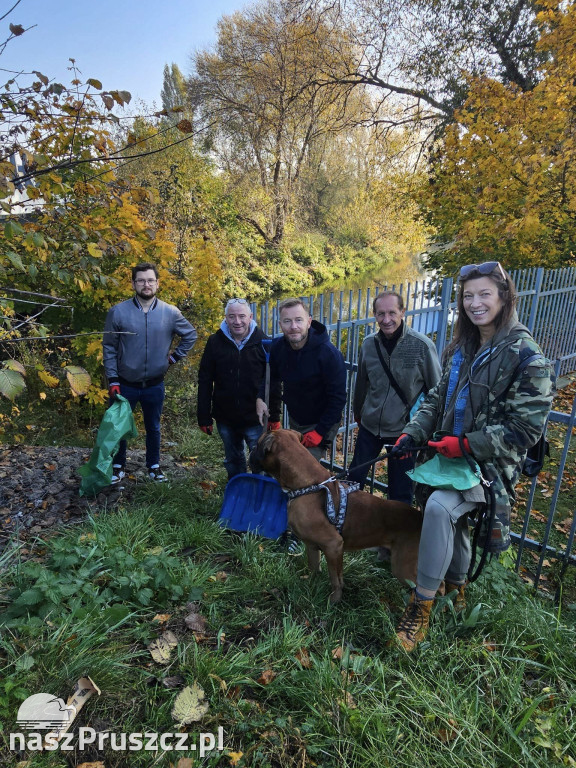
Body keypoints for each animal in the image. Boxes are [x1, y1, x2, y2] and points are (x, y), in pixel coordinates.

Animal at [250, 428, 420, 604]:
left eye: (257, 445)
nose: (250, 451)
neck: (309, 486)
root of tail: (420, 517)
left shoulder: (333, 545)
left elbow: (335, 578)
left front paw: (334, 600)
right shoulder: (312, 545)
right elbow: (316, 568)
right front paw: (311, 587)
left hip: (403, 568)